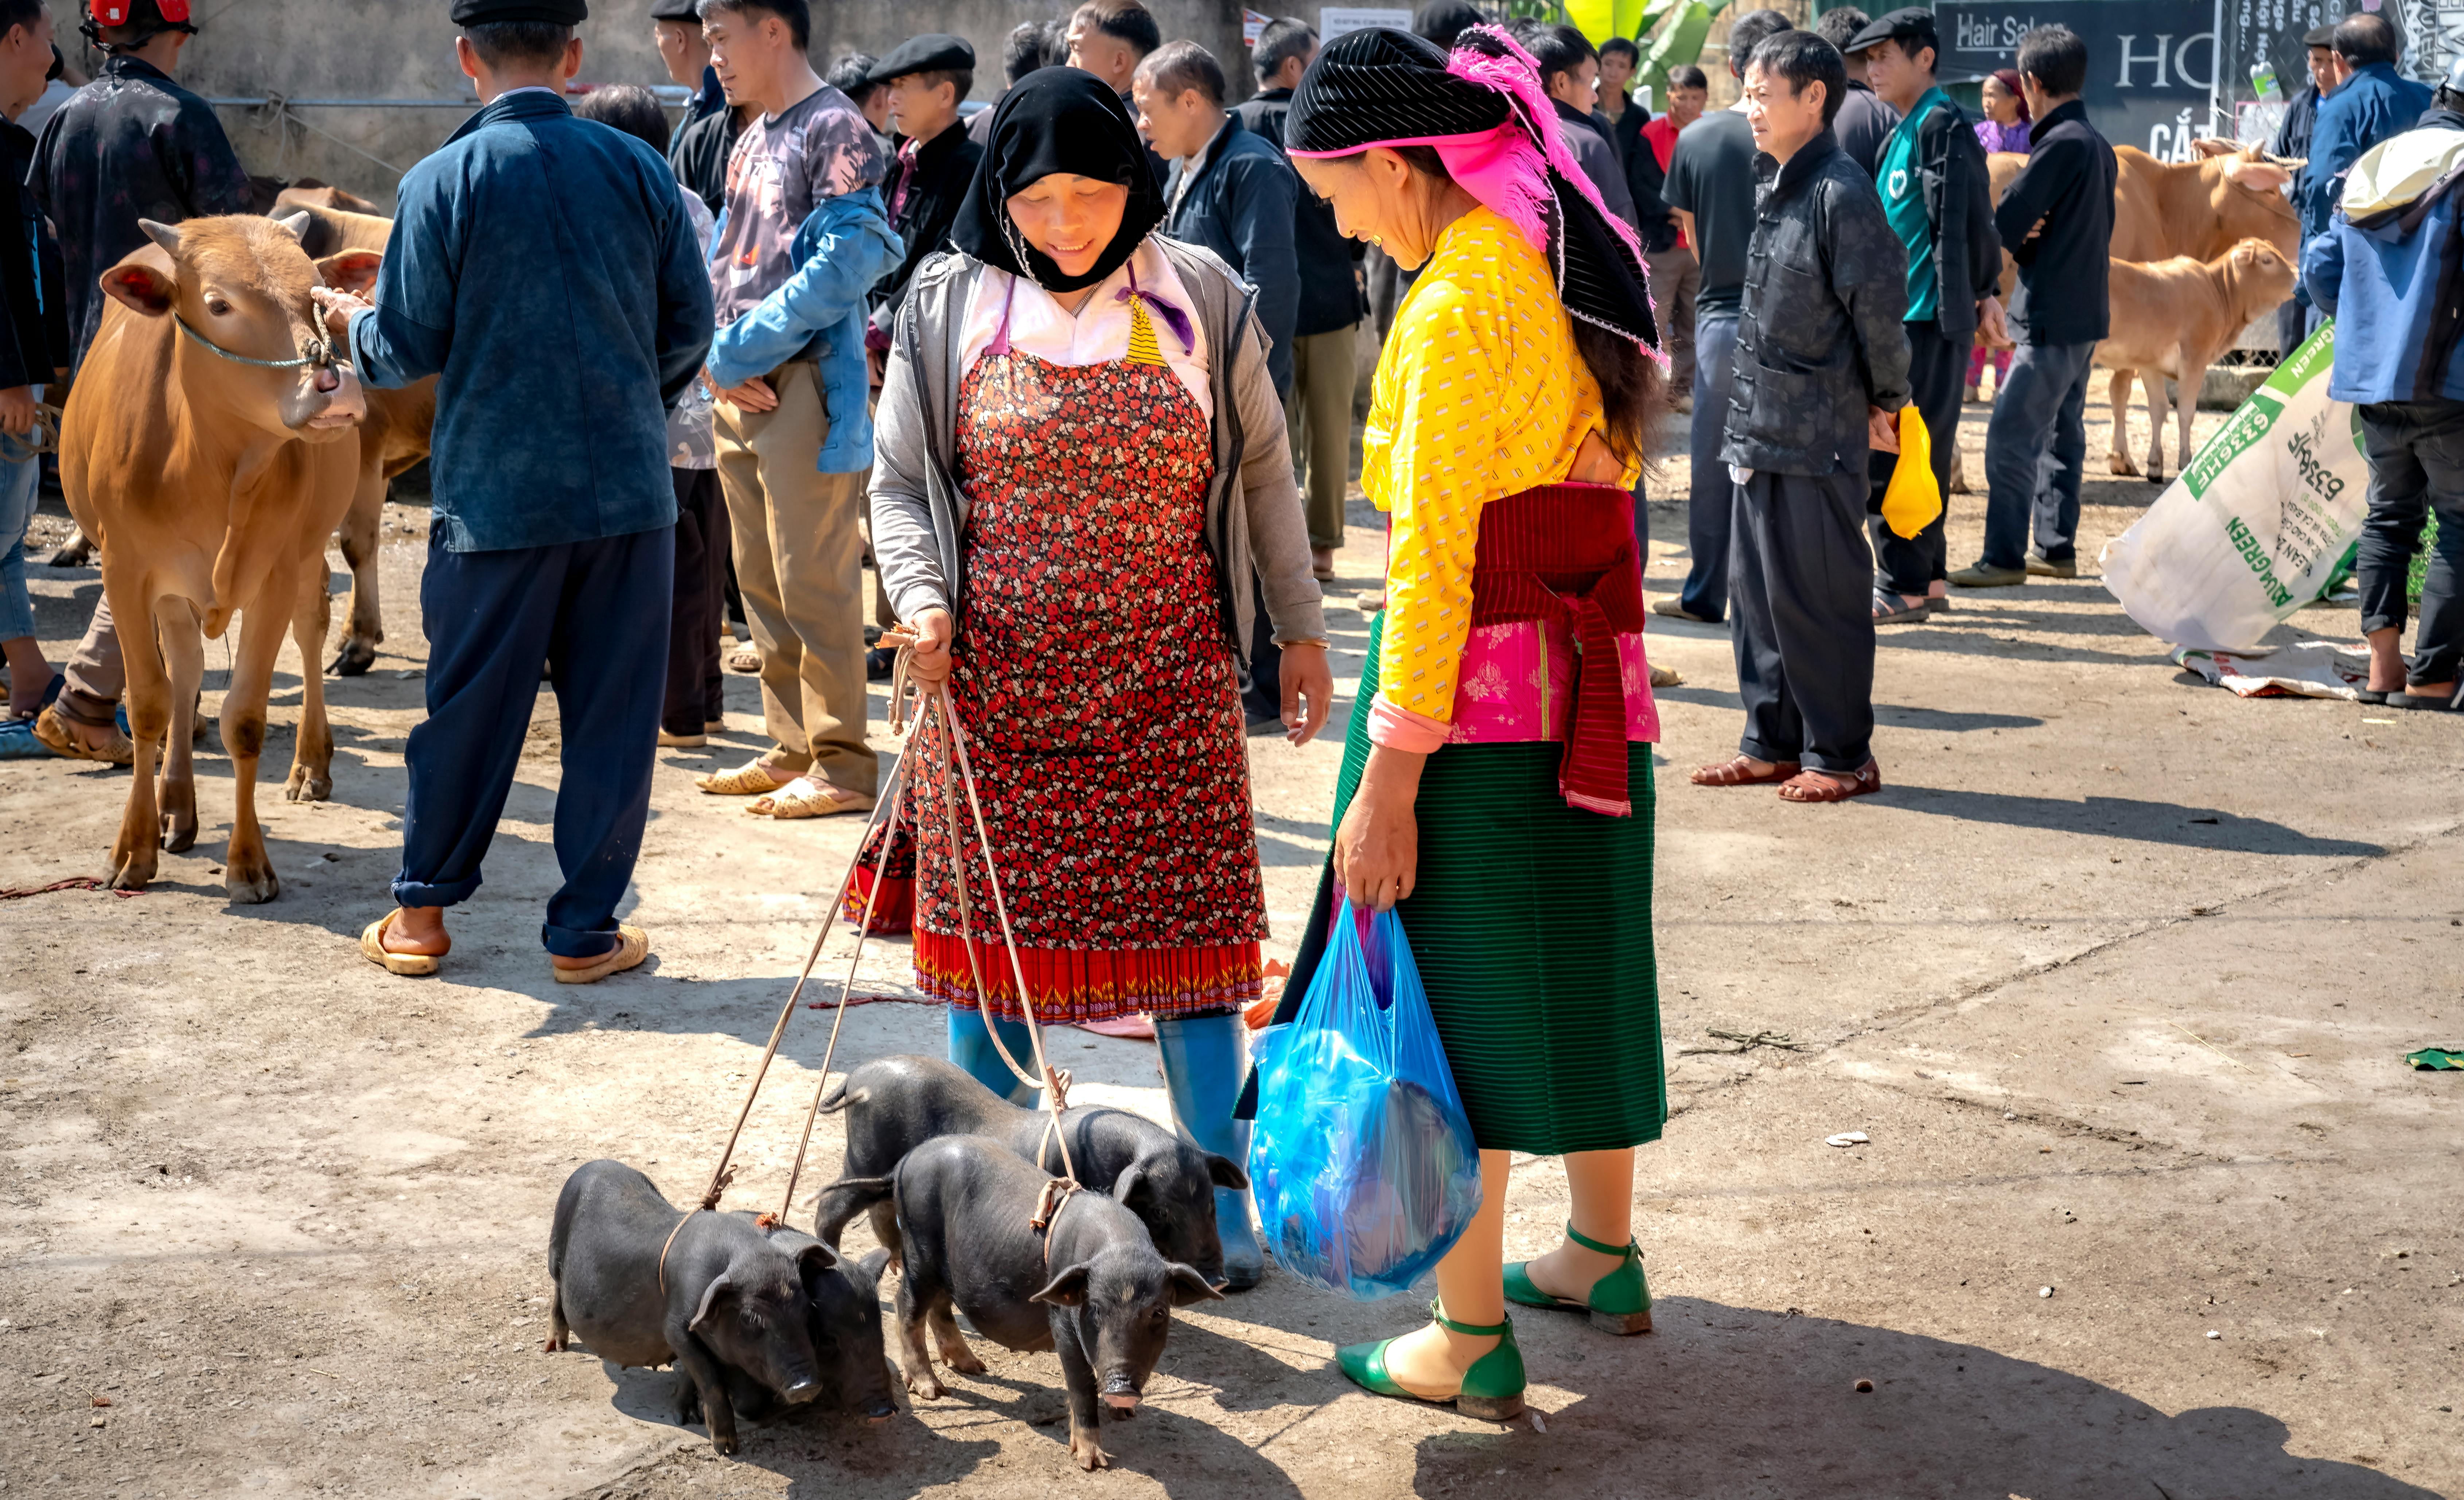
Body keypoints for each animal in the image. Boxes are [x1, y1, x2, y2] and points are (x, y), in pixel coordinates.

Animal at [65, 215, 384, 896]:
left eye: (315, 292)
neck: (209, 460)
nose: (334, 383)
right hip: (172, 588)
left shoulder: (275, 572)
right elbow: (151, 704)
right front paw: (133, 848)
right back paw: (176, 807)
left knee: (310, 629)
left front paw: (248, 861)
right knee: (186, 668)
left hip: (307, 552)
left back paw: (310, 764)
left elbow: (245, 718)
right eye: (217, 304)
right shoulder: (127, 572)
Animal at [2089, 236, 2296, 480]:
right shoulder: (2194, 359)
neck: (2216, 290)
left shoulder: (2150, 363)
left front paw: (2155, 465)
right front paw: (2186, 461)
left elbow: (2159, 409)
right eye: (2267, 260)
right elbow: (2186, 412)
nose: (2298, 274)